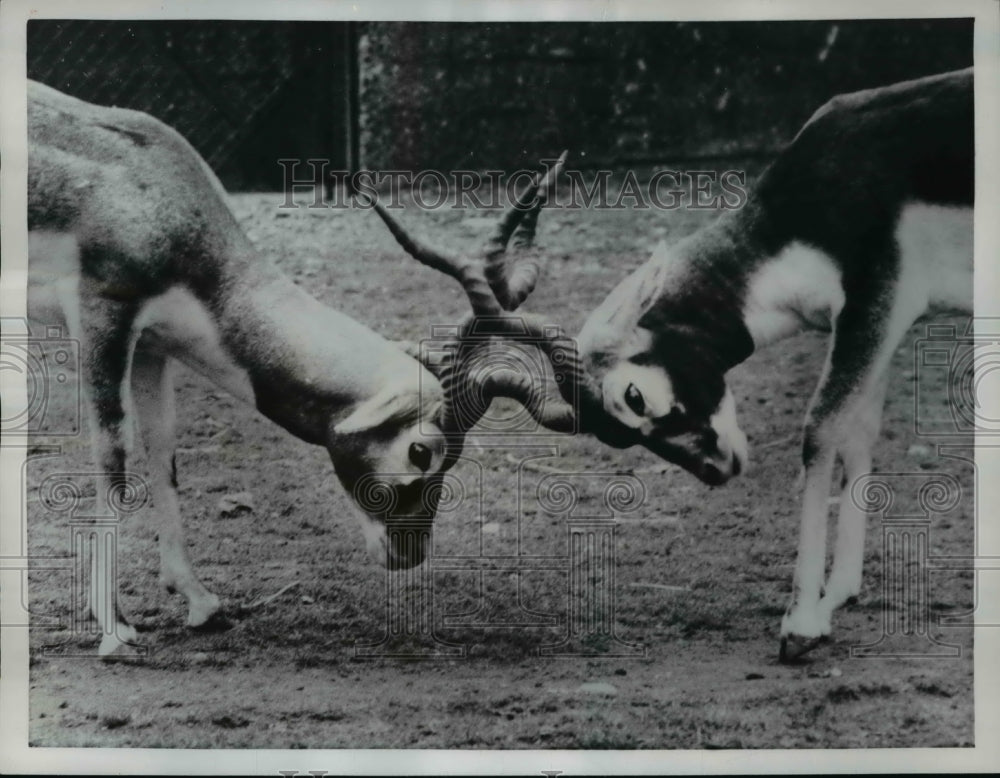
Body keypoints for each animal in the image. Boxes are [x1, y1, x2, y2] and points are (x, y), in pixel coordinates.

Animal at [25, 80, 572, 656]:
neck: (159, 194)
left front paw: (200, 601)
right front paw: (114, 630)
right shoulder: (102, 315)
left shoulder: (152, 343)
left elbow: (163, 455)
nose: (409, 553)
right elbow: (113, 460)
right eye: (421, 451)